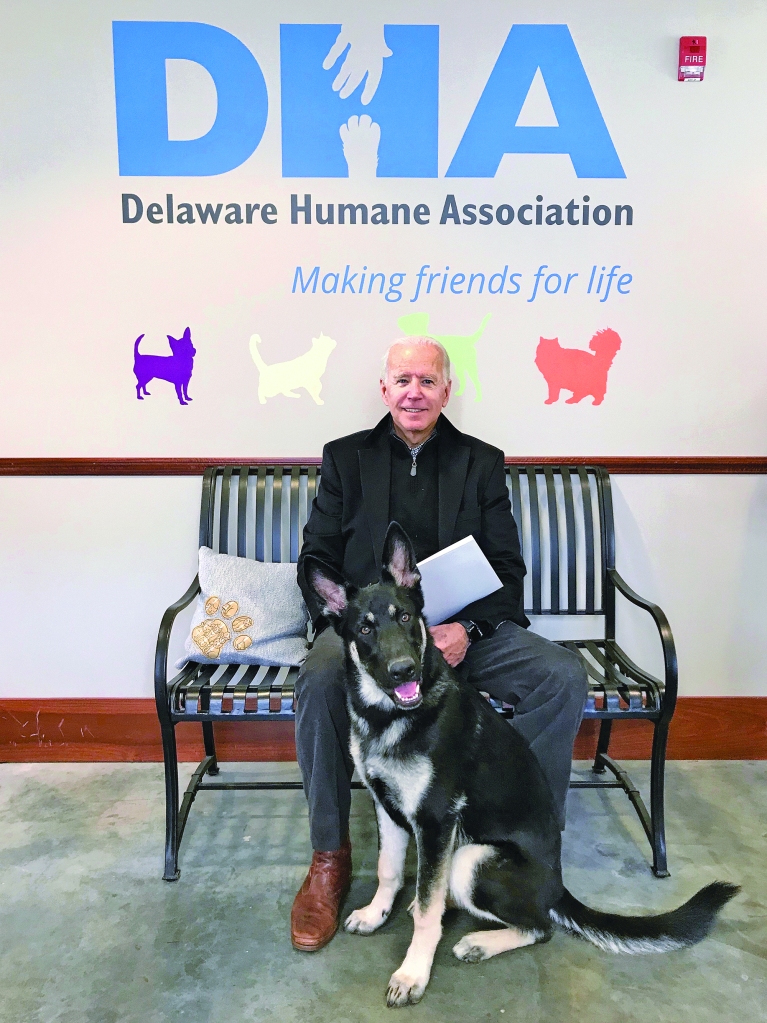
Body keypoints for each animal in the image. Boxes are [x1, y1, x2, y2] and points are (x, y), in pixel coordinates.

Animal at [304, 527, 740, 1006]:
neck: (390, 716)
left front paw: (413, 971)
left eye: (404, 618)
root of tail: (558, 885)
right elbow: (388, 869)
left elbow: (427, 912)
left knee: (539, 926)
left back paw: (480, 941)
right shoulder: (388, 808)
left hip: (471, 860)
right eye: (365, 628)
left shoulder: (435, 822)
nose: (405, 671)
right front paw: (376, 913)